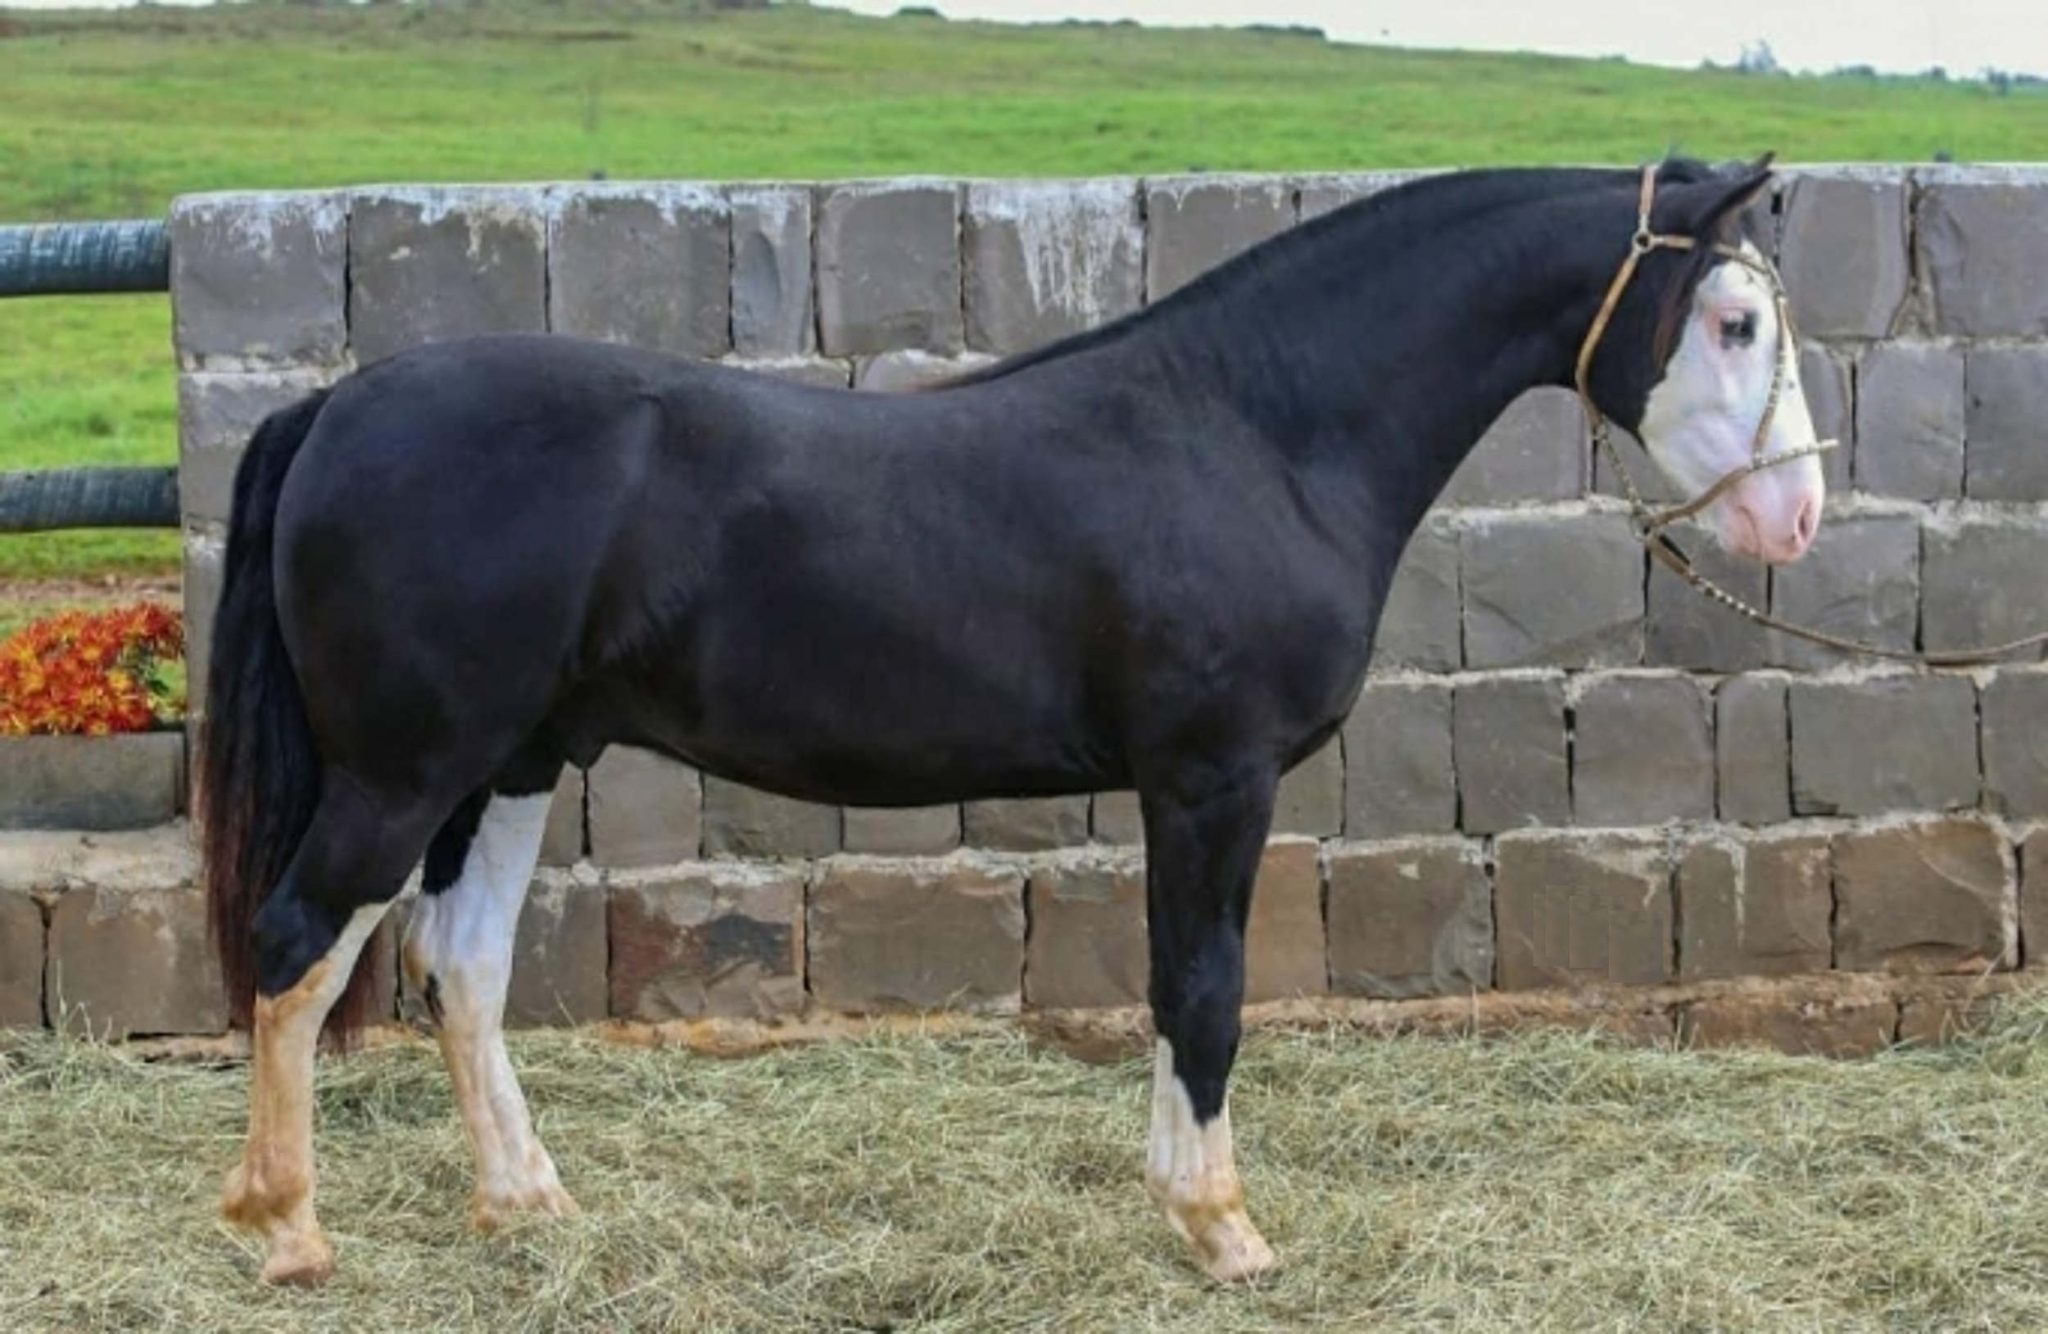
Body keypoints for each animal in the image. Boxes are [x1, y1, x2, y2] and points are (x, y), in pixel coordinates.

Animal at [201, 156, 1828, 1286]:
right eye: (1734, 318)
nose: (1794, 518)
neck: (1254, 430)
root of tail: (336, 407)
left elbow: (1179, 990)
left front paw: (1191, 1208)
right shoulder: (1210, 780)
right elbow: (1203, 991)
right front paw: (1221, 1229)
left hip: (516, 761)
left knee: (459, 961)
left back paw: (526, 1202)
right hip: (405, 770)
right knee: (295, 947)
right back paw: (285, 1229)